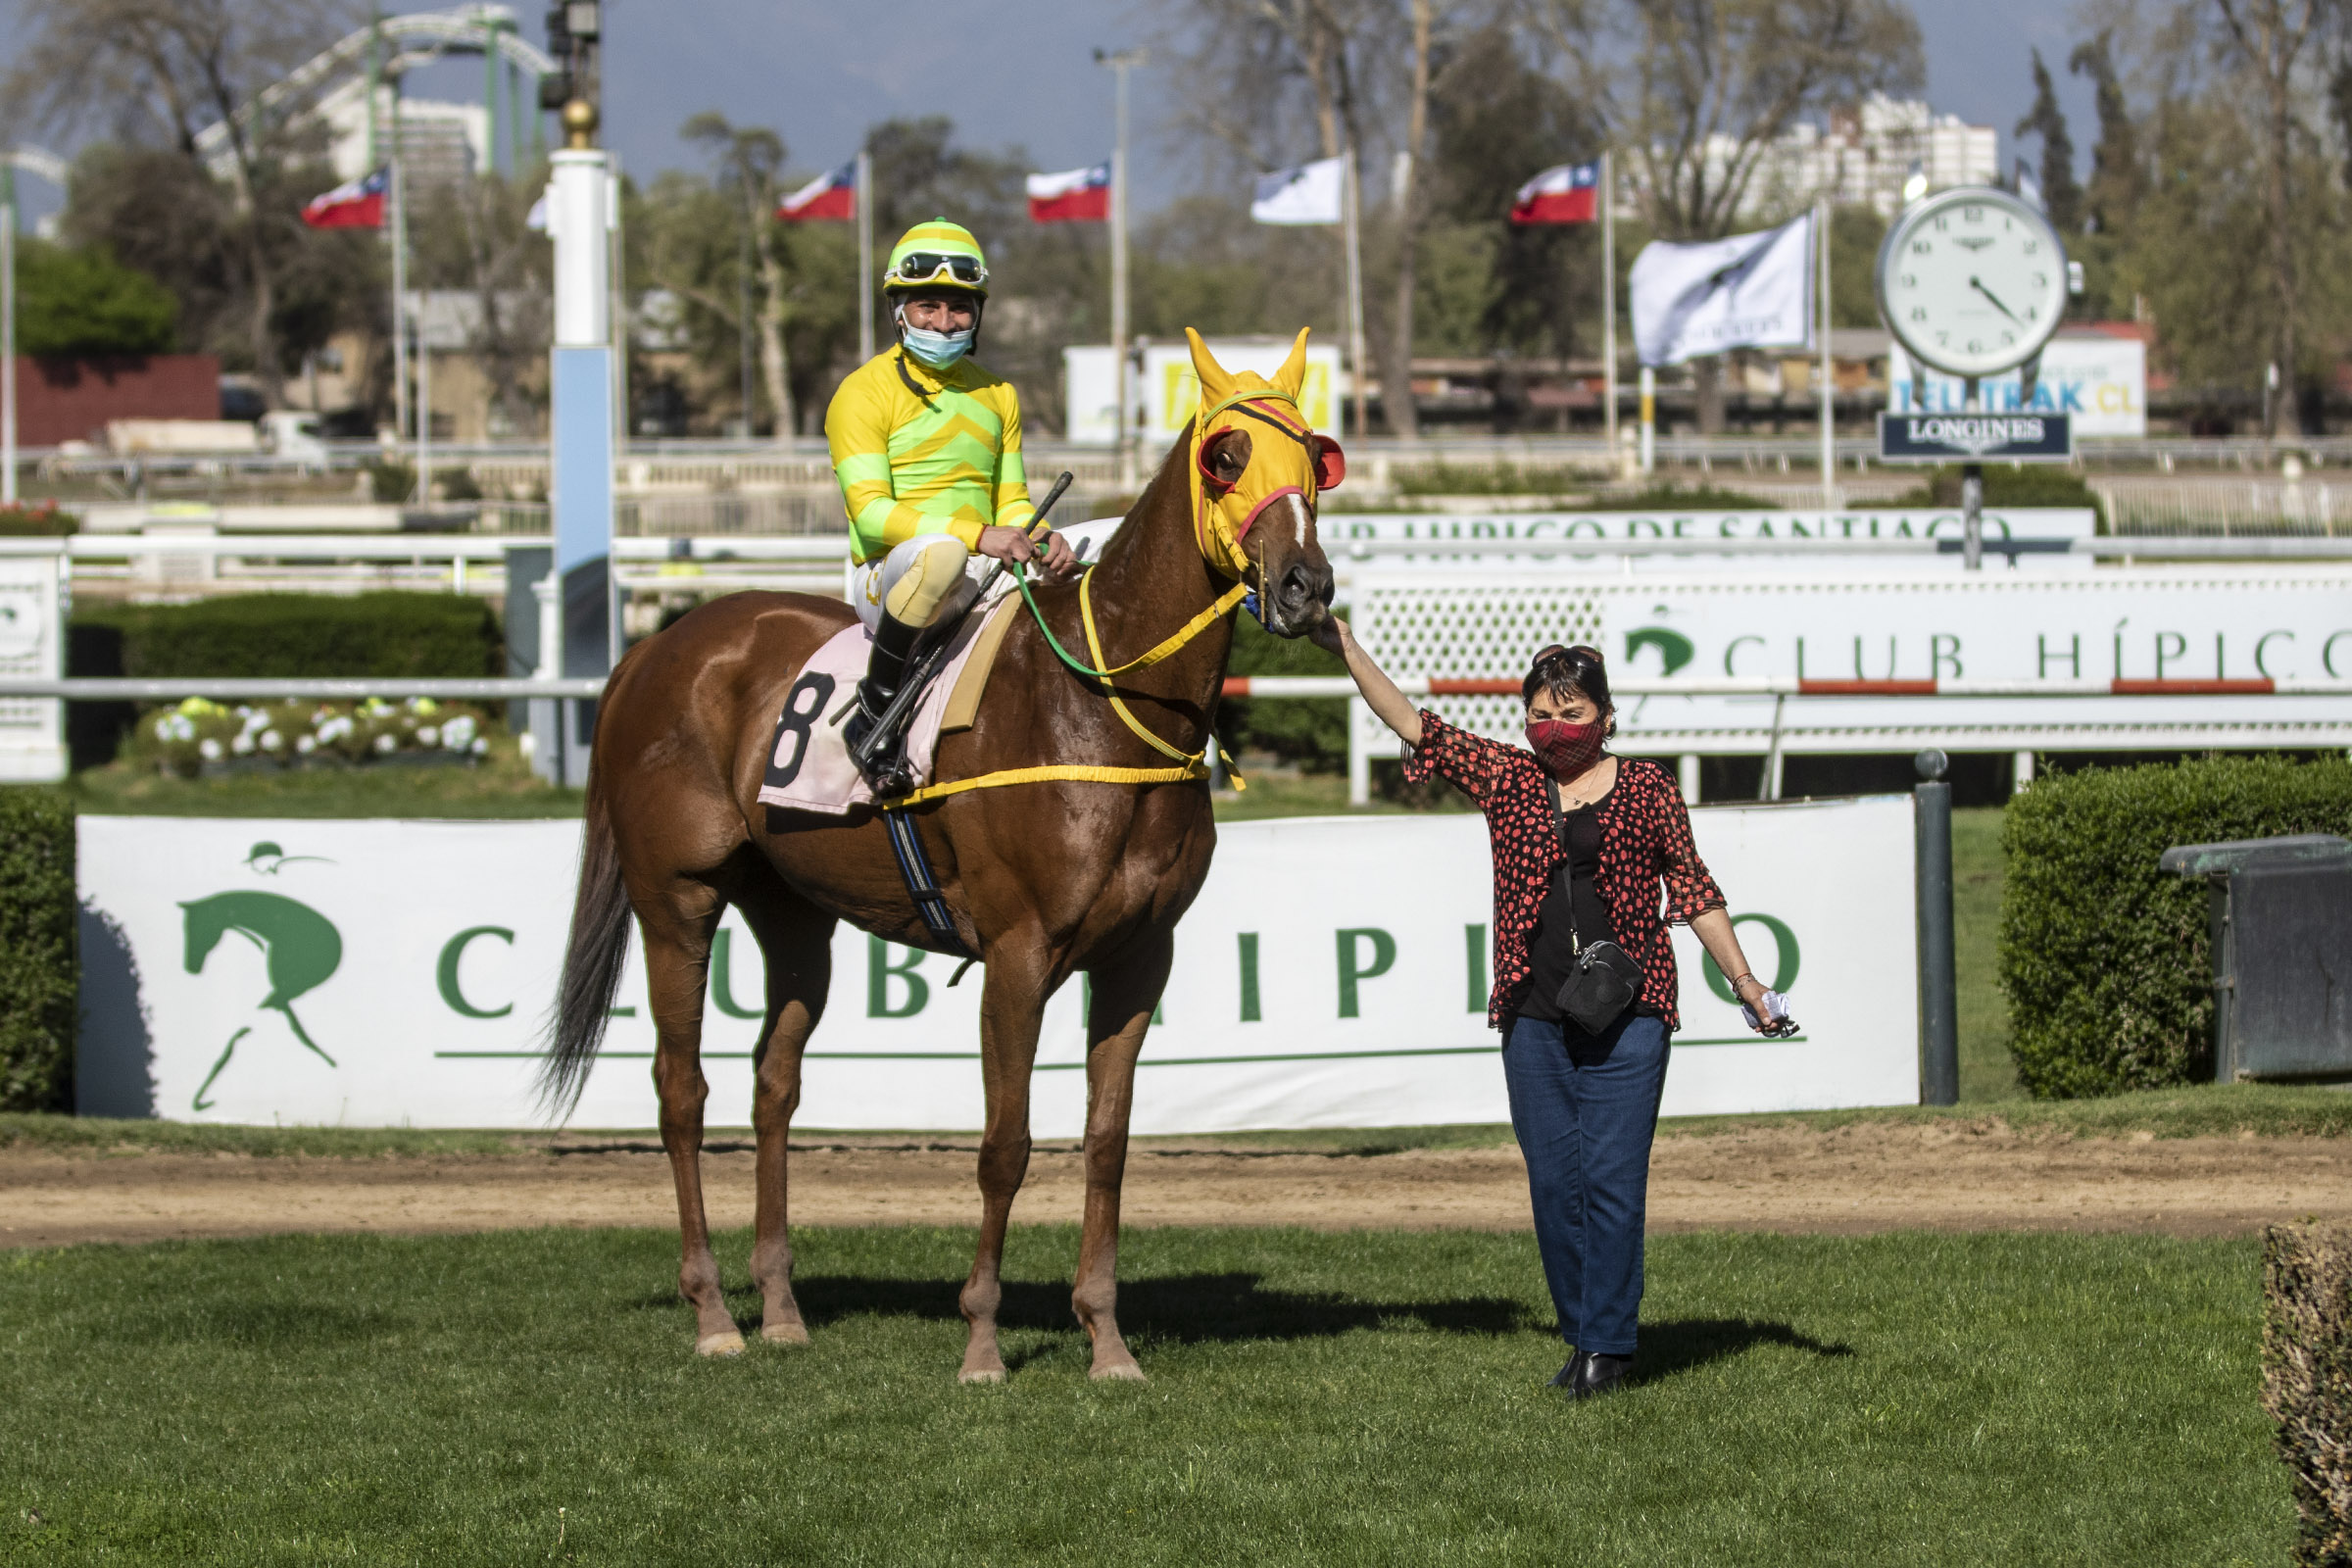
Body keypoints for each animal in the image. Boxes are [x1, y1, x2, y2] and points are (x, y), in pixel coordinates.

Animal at [540, 329, 1339, 1382]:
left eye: (1319, 456)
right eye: (1227, 456)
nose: (1304, 586)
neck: (1098, 706)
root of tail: (654, 648)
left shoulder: (1139, 955)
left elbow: (1108, 1141)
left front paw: (1106, 1339)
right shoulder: (1018, 953)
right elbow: (1007, 1144)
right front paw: (983, 1343)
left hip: (793, 914)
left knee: (772, 1088)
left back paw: (781, 1307)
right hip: (676, 899)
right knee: (682, 1091)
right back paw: (714, 1314)